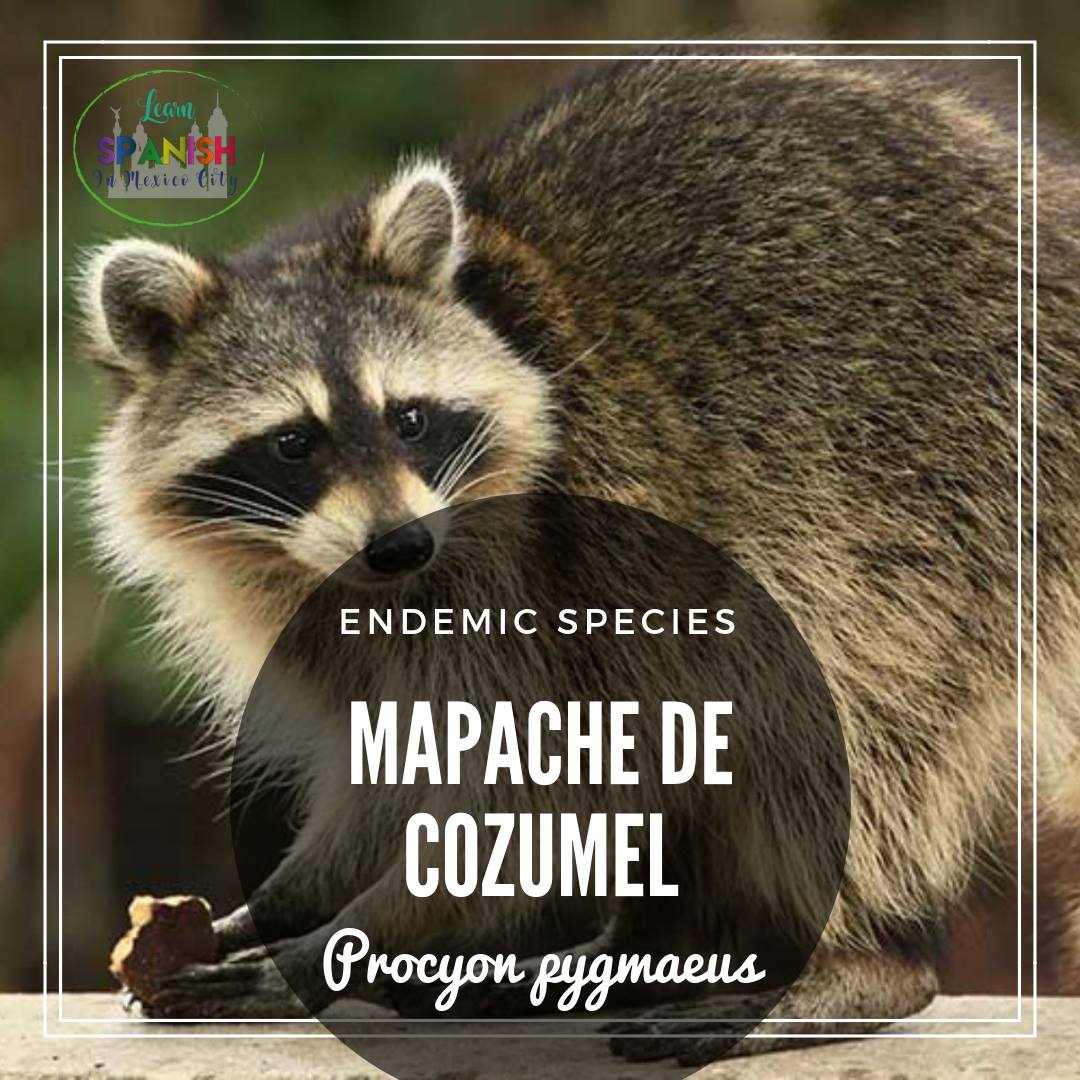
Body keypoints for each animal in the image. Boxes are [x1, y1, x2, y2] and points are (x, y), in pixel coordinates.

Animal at [82, 51, 1080, 1064]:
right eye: (293, 443)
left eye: (411, 419)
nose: (400, 544)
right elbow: (391, 764)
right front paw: (290, 899)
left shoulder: (558, 567)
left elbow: (532, 794)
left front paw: (342, 942)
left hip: (948, 485)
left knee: (839, 703)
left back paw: (858, 964)